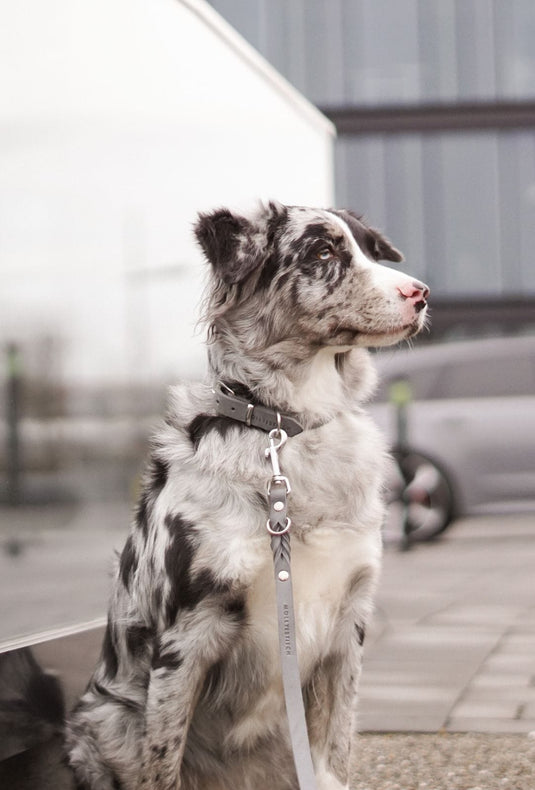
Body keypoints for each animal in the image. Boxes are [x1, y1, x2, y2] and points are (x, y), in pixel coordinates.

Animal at [65, 201, 432, 788]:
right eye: (322, 252)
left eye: (372, 250)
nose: (420, 294)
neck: (287, 429)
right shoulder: (187, 635)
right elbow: (163, 762)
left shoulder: (347, 626)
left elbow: (335, 755)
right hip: (106, 721)